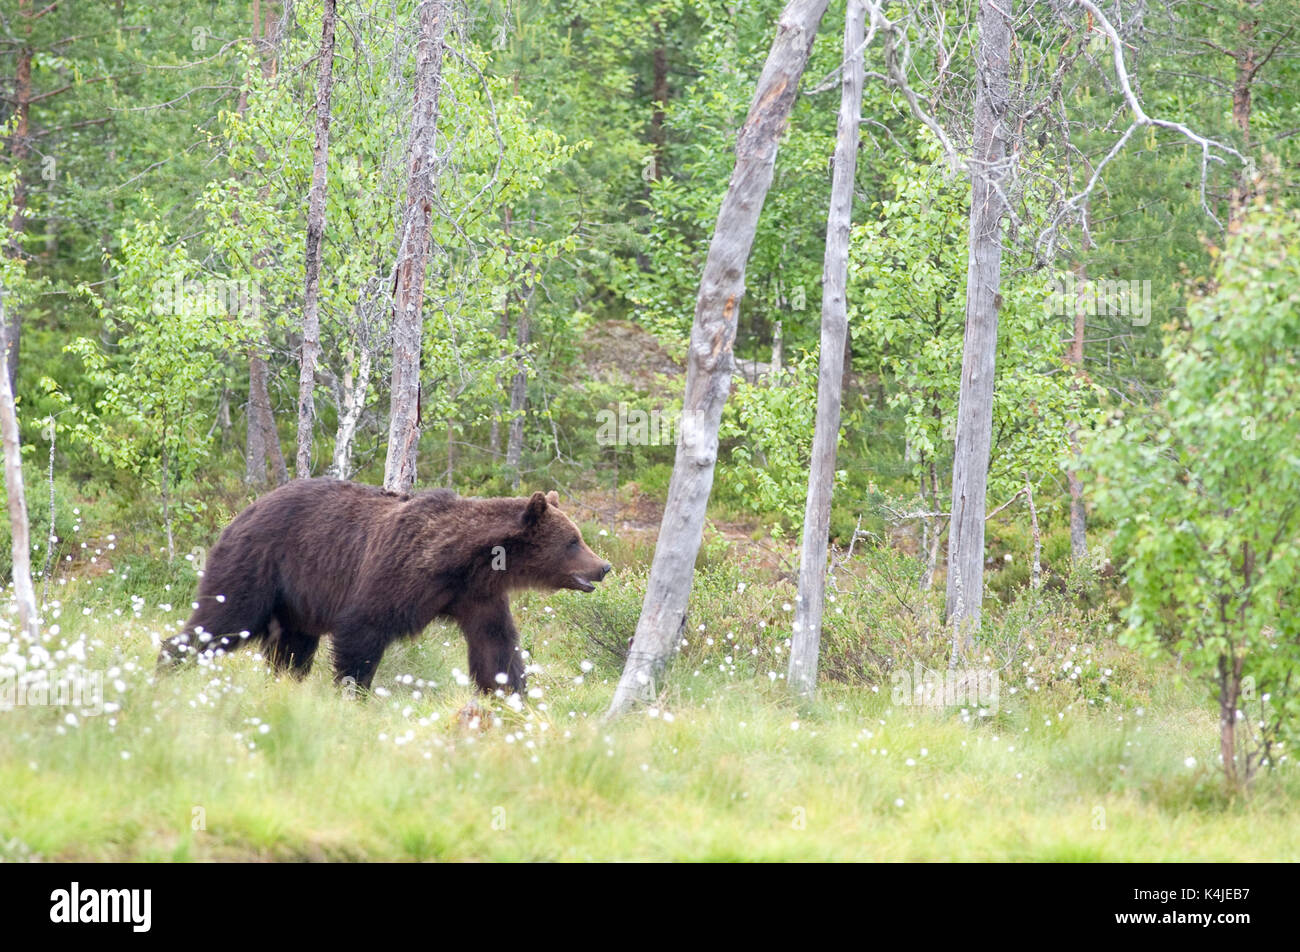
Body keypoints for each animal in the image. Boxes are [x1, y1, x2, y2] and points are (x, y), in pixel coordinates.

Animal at [154, 483, 611, 691]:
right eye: (573, 541)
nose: (604, 566)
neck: (466, 563)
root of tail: (240, 512)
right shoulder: (395, 576)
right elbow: (362, 630)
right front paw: (353, 693)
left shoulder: (476, 597)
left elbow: (495, 646)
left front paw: (511, 696)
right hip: (259, 567)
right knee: (223, 619)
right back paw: (165, 667)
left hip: (296, 603)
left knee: (291, 648)